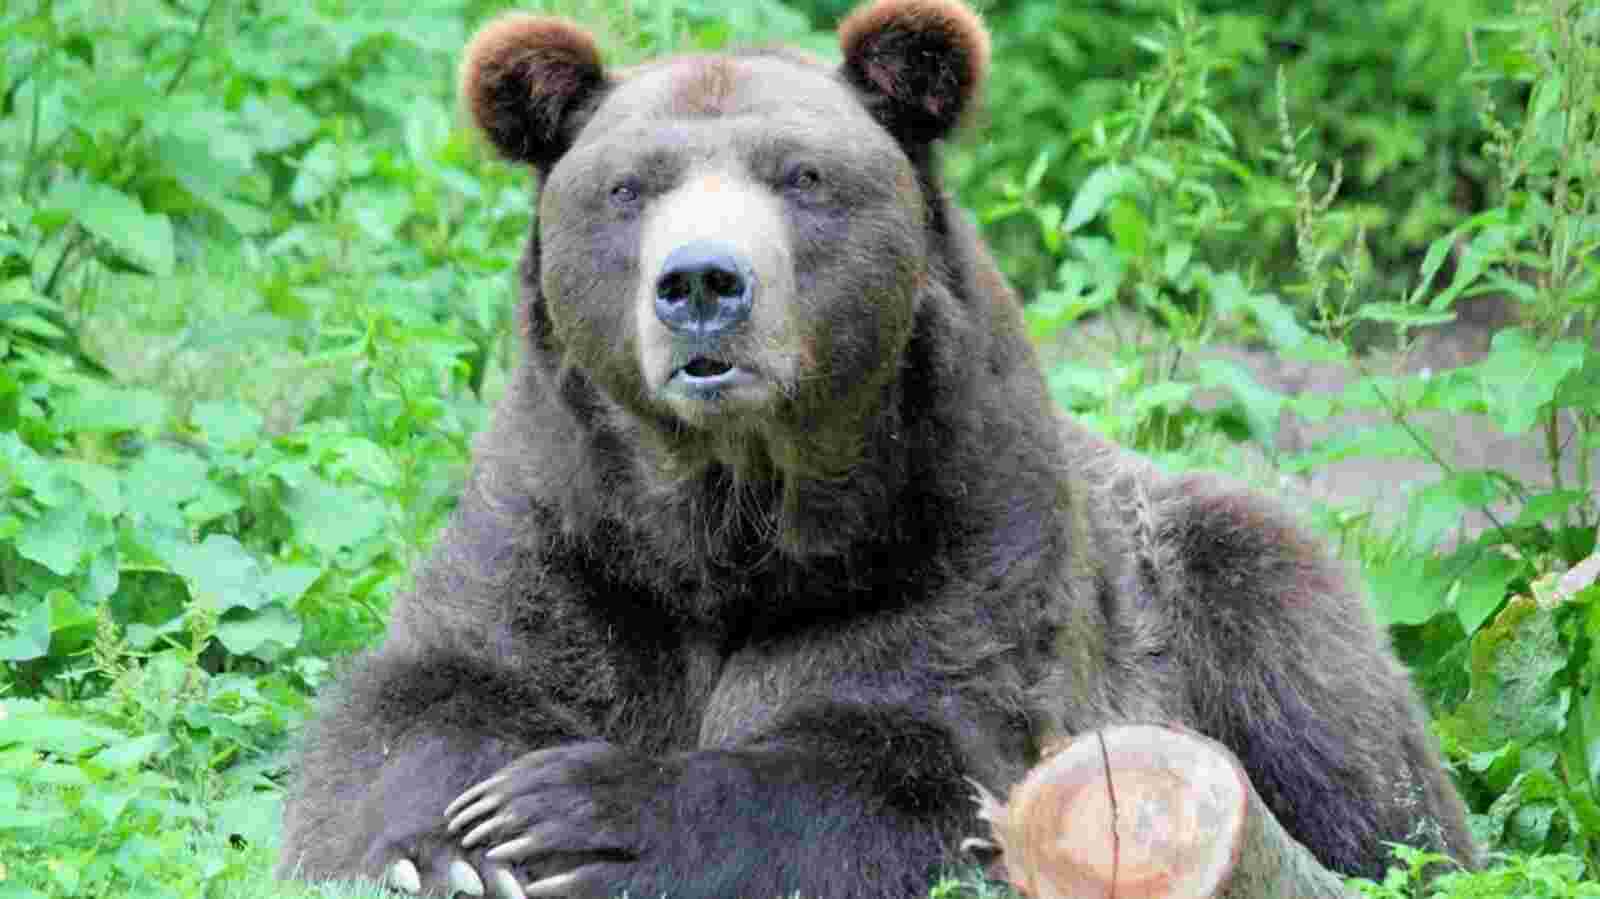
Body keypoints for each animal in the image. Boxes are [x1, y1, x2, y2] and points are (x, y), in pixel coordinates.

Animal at [276, 1, 1476, 896]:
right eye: (628, 187)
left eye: (801, 175)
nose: (702, 283)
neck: (730, 514)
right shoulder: (566, 525)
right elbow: (428, 692)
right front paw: (455, 844)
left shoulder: (952, 535)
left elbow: (910, 757)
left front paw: (578, 815)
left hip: (1223, 578)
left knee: (1353, 744)